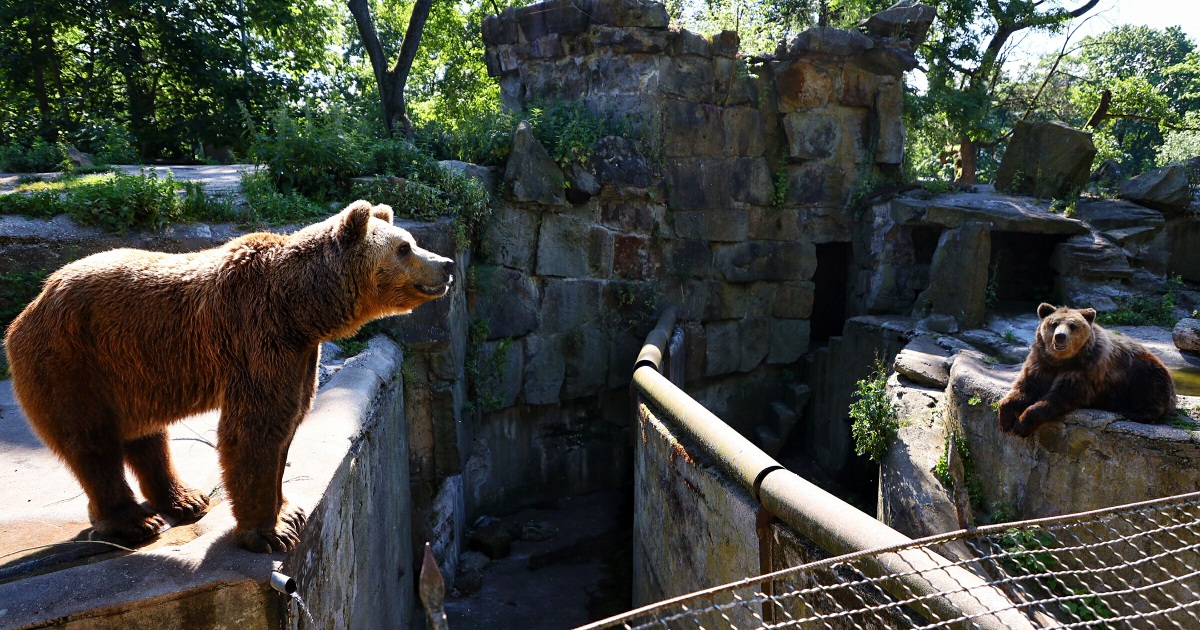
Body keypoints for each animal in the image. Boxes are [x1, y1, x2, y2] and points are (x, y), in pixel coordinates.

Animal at [3, 200, 453, 549]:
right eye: (405, 246)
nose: (447, 263)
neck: (300, 308)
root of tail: (32, 303)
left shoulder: (300, 355)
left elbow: (287, 422)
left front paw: (288, 511)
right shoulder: (258, 336)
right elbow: (256, 429)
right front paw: (267, 533)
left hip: (131, 371)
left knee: (146, 434)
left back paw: (184, 499)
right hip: (72, 362)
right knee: (92, 443)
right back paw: (134, 521)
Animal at [998, 303, 1176, 436]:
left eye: (1072, 325)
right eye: (1054, 324)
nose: (1060, 336)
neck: (1062, 360)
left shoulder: (1085, 371)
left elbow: (1059, 397)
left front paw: (1021, 424)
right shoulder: (1041, 363)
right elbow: (1026, 388)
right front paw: (1006, 420)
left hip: (1143, 370)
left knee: (1151, 387)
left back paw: (1134, 412)